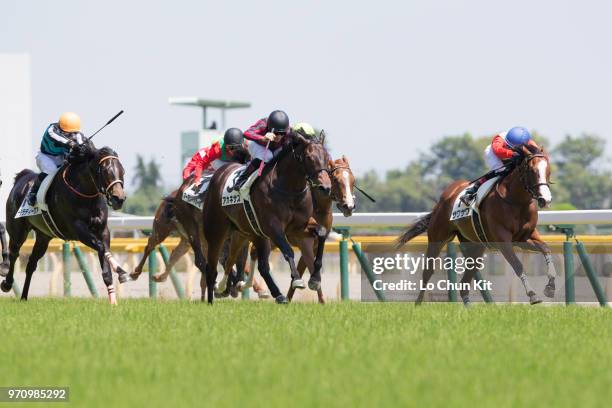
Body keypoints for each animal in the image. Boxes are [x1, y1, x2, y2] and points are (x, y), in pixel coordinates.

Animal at [0, 142, 126, 304]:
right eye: (105, 171)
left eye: (122, 170)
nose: (119, 199)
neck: (84, 193)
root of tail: (21, 178)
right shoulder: (77, 230)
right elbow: (100, 247)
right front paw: (121, 271)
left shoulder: (103, 230)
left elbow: (105, 253)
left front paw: (114, 299)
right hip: (18, 231)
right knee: (14, 253)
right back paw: (7, 281)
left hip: (43, 237)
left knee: (31, 264)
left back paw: (24, 297)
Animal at [202, 134, 332, 302]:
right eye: (309, 157)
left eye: (327, 157)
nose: (325, 187)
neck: (288, 188)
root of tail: (220, 173)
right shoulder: (273, 227)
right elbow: (288, 250)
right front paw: (297, 279)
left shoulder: (298, 227)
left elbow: (321, 233)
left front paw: (315, 279)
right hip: (216, 232)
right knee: (212, 267)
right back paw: (213, 297)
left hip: (249, 233)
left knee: (251, 263)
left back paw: (277, 295)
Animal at [394, 145, 556, 304]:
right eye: (532, 171)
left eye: (548, 171)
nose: (545, 199)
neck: (516, 201)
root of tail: (443, 199)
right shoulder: (503, 241)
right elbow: (518, 265)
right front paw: (533, 295)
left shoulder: (523, 238)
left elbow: (546, 248)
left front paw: (550, 286)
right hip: (437, 238)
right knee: (428, 271)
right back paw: (418, 303)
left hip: (475, 246)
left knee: (464, 283)